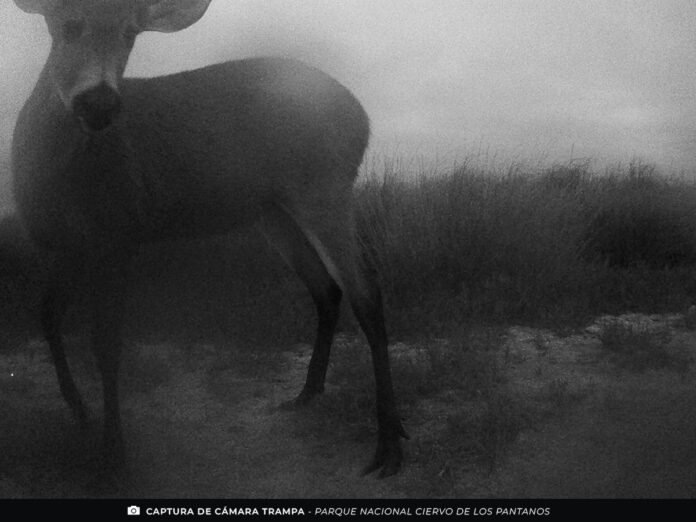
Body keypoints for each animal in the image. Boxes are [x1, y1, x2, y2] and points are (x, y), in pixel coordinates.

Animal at [11, 0, 407, 478]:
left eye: (130, 33)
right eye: (68, 25)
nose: (100, 103)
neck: (58, 178)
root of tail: (362, 116)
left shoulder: (118, 233)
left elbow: (105, 343)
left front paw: (113, 456)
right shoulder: (62, 246)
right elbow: (47, 315)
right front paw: (79, 410)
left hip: (324, 186)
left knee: (365, 290)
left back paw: (389, 446)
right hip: (274, 212)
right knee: (326, 288)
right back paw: (307, 393)